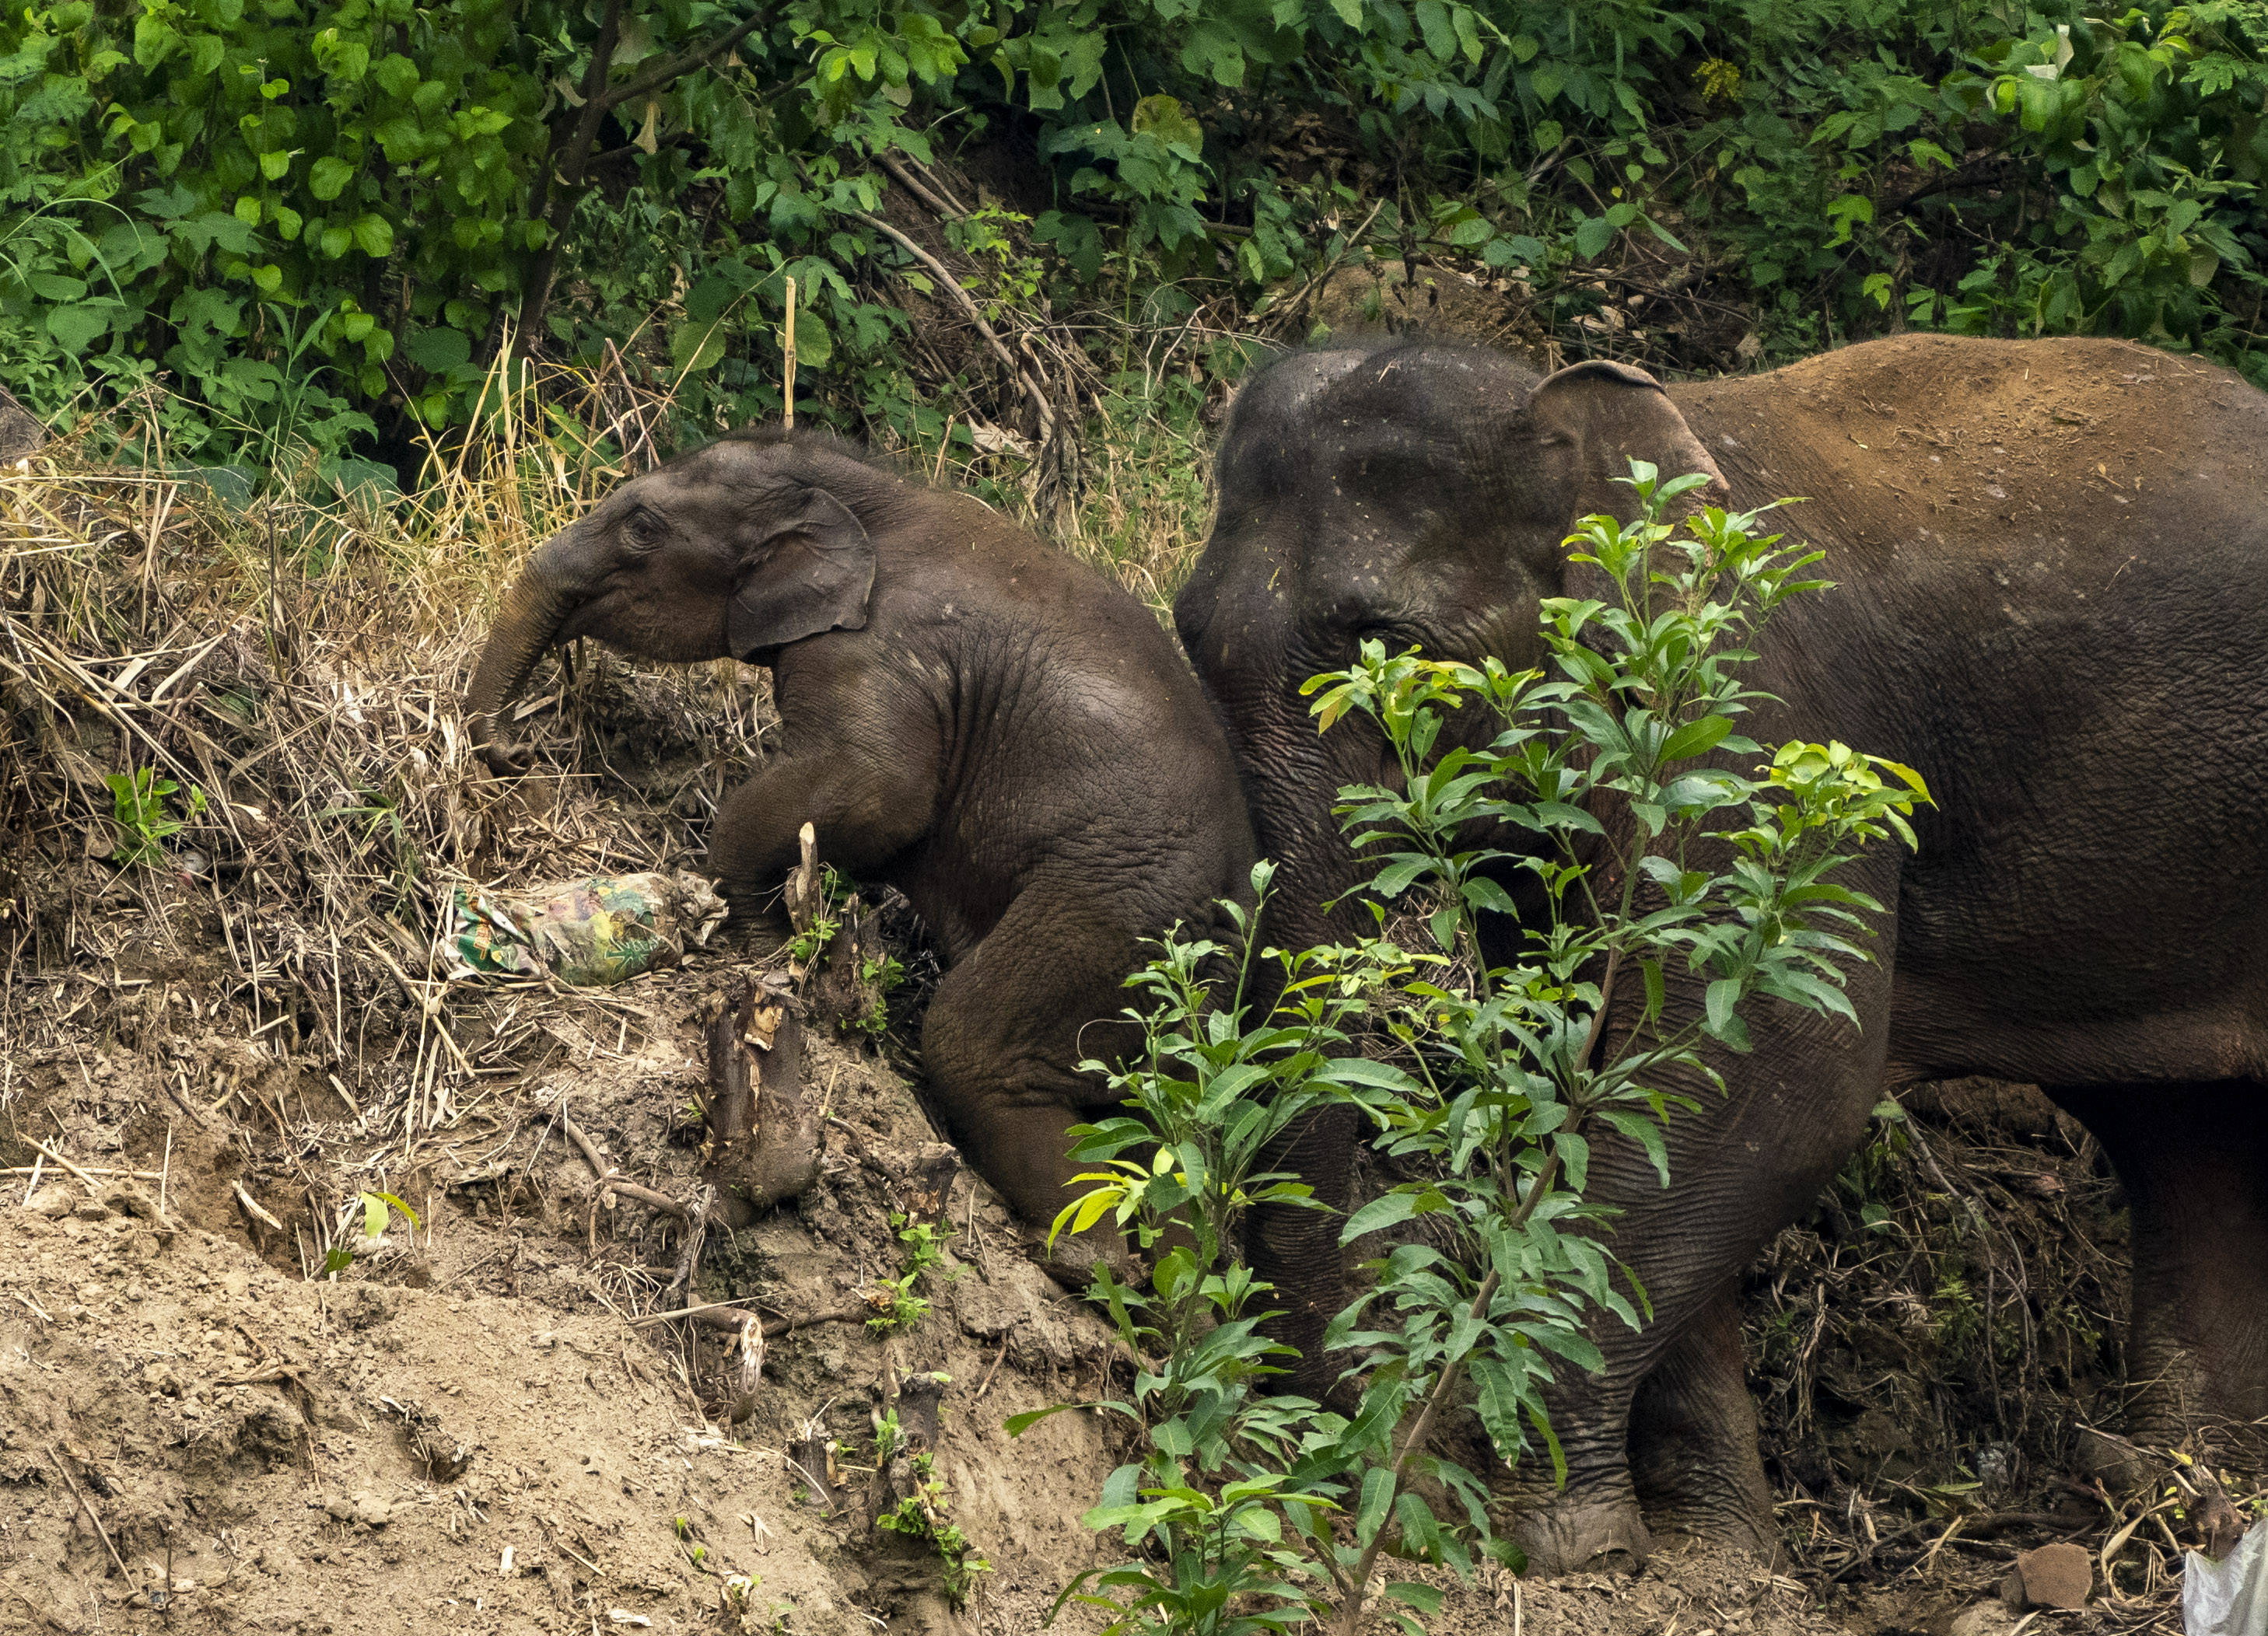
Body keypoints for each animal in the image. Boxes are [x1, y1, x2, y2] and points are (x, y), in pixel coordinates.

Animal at [469, 425, 1261, 1260]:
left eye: (643, 528)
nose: (519, 751)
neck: (859, 489)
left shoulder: (877, 652)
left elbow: (881, 792)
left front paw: (759, 942)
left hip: (1116, 911)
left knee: (971, 1042)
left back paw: (1086, 1256)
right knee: (1164, 1120)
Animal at [1179, 330, 2268, 1568]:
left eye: (1394, 652)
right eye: (1186, 640)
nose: (1338, 1448)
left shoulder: (1765, 740)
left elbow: (1775, 1075)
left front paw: (1567, 1546)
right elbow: (1633, 1082)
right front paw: (1715, 1556)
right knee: (2190, 1139)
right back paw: (2193, 1501)